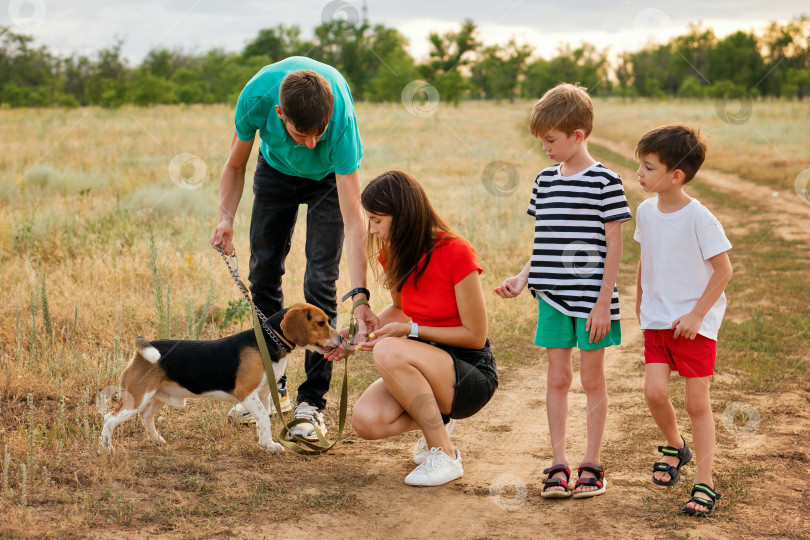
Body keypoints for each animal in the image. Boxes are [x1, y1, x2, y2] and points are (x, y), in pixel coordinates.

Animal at [99, 304, 340, 452]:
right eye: (321, 323)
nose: (341, 338)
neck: (268, 342)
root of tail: (141, 350)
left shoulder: (263, 394)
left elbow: (263, 421)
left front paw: (267, 444)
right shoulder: (247, 393)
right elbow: (264, 419)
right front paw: (268, 445)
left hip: (156, 397)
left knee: (146, 417)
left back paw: (157, 440)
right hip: (135, 398)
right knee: (109, 419)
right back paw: (107, 448)